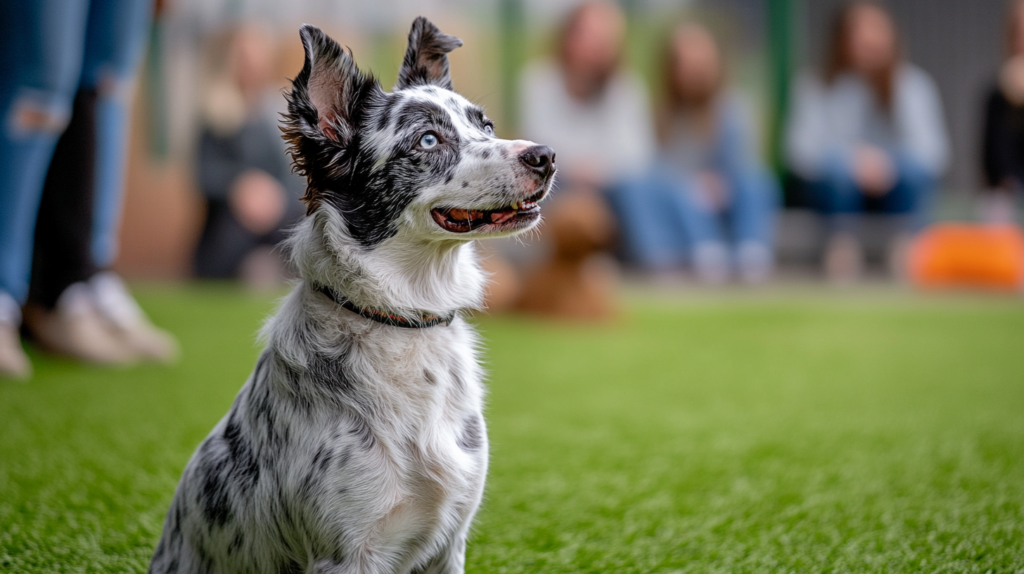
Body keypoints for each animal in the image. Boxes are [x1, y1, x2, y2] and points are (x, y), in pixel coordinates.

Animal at [146, 17, 552, 572]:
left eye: (485, 126)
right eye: (427, 140)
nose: (545, 156)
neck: (404, 318)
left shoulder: (450, 543)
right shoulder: (348, 551)